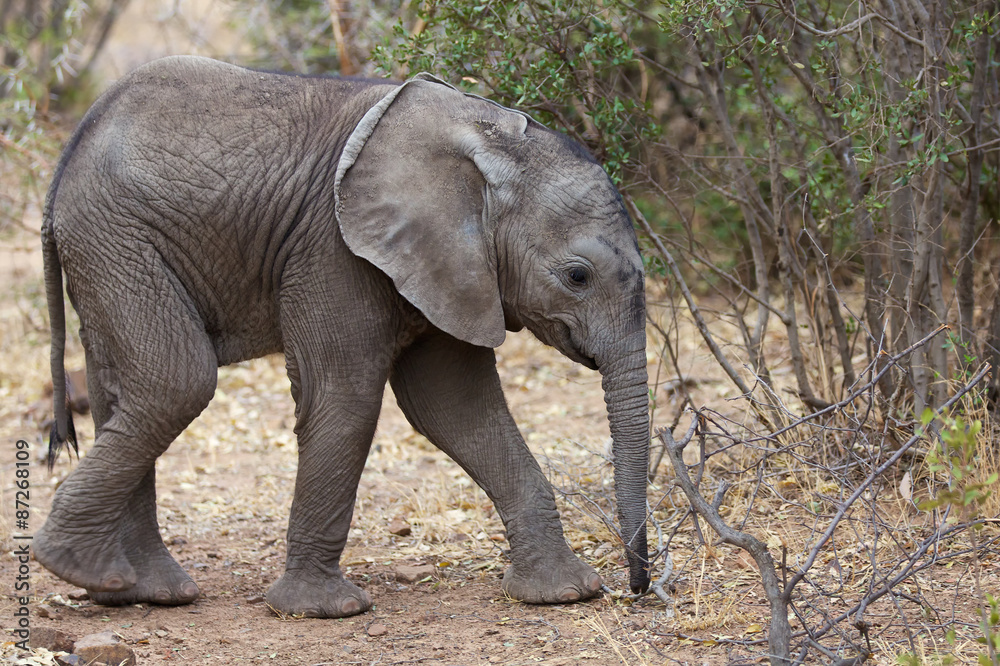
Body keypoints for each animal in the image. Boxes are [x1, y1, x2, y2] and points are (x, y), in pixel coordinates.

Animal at [35, 55, 651, 618]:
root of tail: (69, 154)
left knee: (121, 392)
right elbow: (345, 397)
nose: (637, 588)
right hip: (116, 237)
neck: (486, 138)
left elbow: (458, 408)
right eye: (577, 276)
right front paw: (323, 610)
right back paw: (77, 566)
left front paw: (565, 593)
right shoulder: (334, 247)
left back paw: (137, 591)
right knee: (176, 381)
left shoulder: (450, 267)